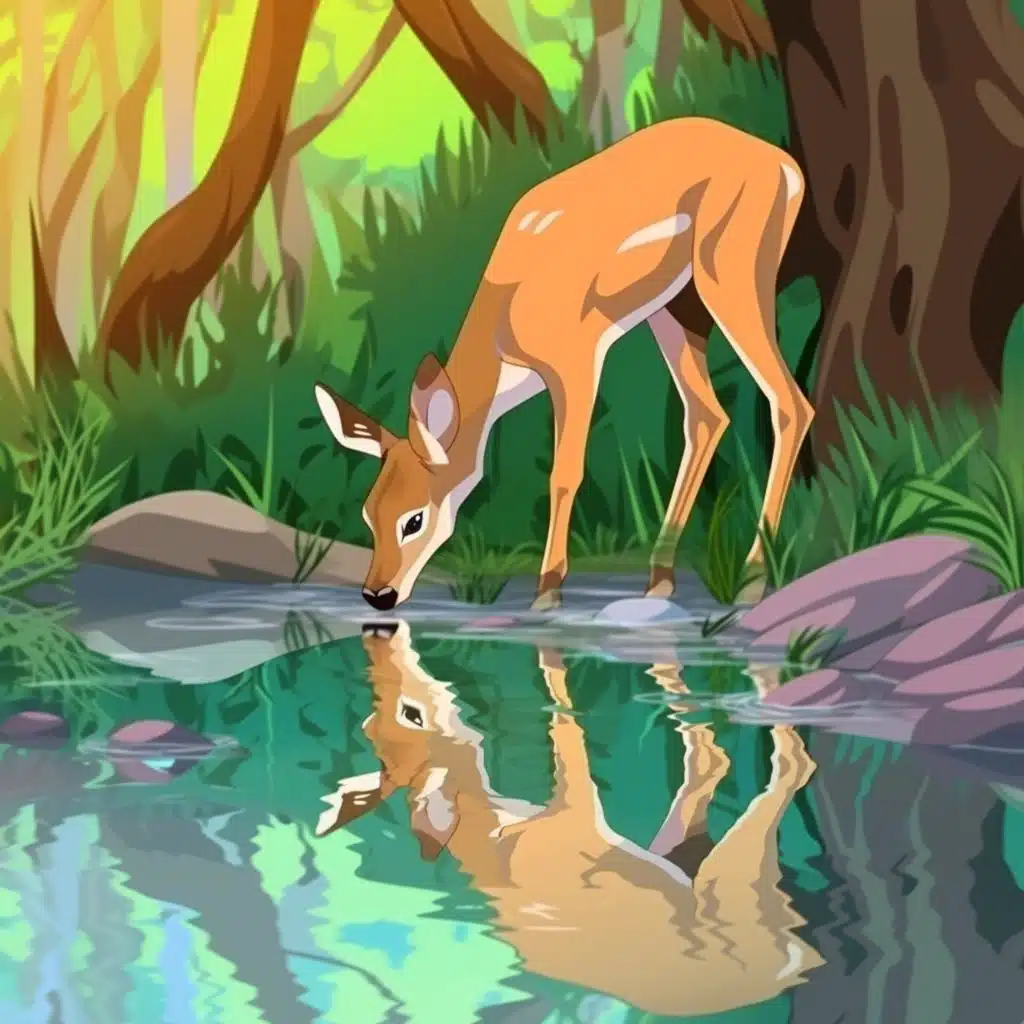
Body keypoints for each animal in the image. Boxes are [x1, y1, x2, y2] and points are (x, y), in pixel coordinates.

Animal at [314, 116, 812, 612]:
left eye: (414, 519)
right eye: (369, 512)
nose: (378, 594)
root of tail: (788, 168)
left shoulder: (578, 355)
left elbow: (565, 472)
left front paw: (547, 588)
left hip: (732, 269)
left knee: (790, 403)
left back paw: (752, 578)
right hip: (673, 307)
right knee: (708, 414)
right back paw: (659, 578)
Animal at [316, 621, 824, 1017]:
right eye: (413, 714)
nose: (384, 641)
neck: (497, 834)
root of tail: (798, 969)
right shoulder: (578, 808)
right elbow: (567, 738)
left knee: (715, 758)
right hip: (733, 877)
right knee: (785, 764)